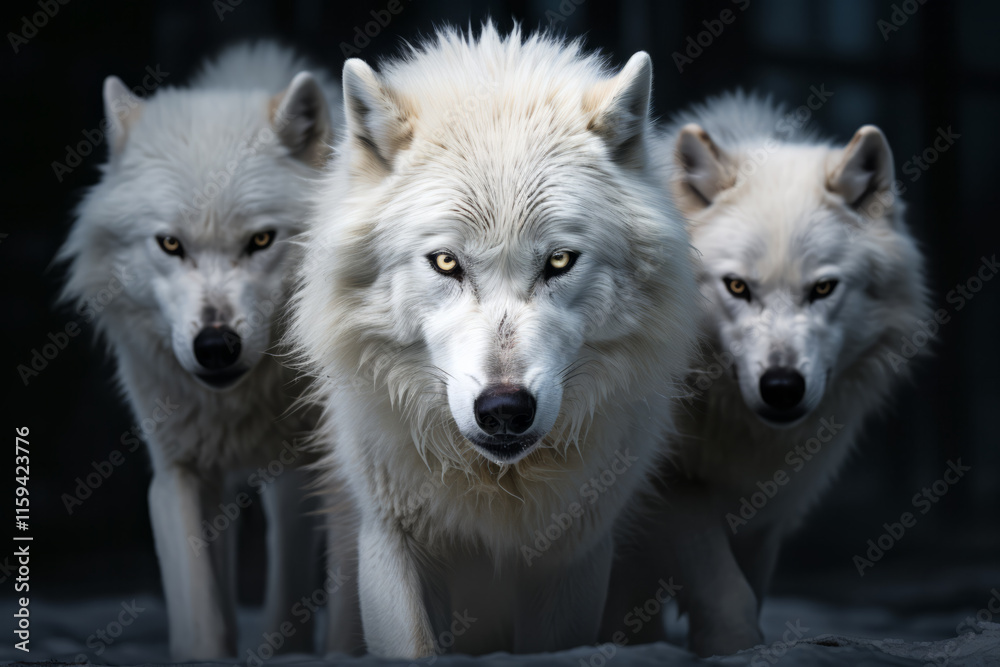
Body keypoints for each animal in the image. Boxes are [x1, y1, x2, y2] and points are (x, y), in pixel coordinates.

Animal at [57, 42, 359, 659]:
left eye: (261, 240)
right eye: (170, 244)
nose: (215, 346)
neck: (244, 402)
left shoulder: (331, 475)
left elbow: (341, 616)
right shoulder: (178, 474)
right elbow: (203, 615)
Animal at [290, 25, 700, 659]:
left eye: (559, 261)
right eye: (445, 262)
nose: (505, 409)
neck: (497, 486)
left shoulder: (576, 558)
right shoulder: (389, 538)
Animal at [601, 92, 931, 656]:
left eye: (823, 289)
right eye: (737, 286)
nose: (781, 387)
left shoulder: (764, 513)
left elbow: (749, 588)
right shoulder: (668, 486)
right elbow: (723, 589)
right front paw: (730, 643)